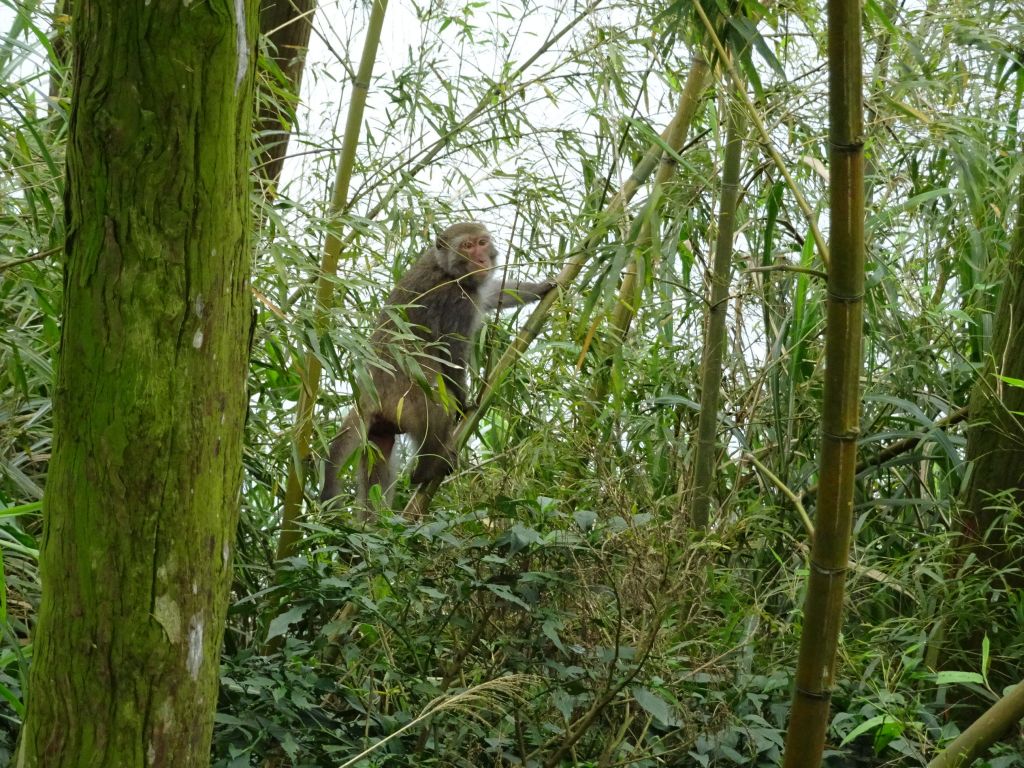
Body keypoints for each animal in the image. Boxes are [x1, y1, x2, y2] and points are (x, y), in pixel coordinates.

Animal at [323, 219, 557, 514]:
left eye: (482, 243)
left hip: (380, 426)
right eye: (467, 246)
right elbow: (451, 354)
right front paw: (465, 401)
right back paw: (425, 471)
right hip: (403, 400)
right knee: (435, 401)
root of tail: (367, 393)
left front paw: (541, 287)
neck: (446, 269)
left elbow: (494, 294)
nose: (481, 259)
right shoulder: (457, 300)